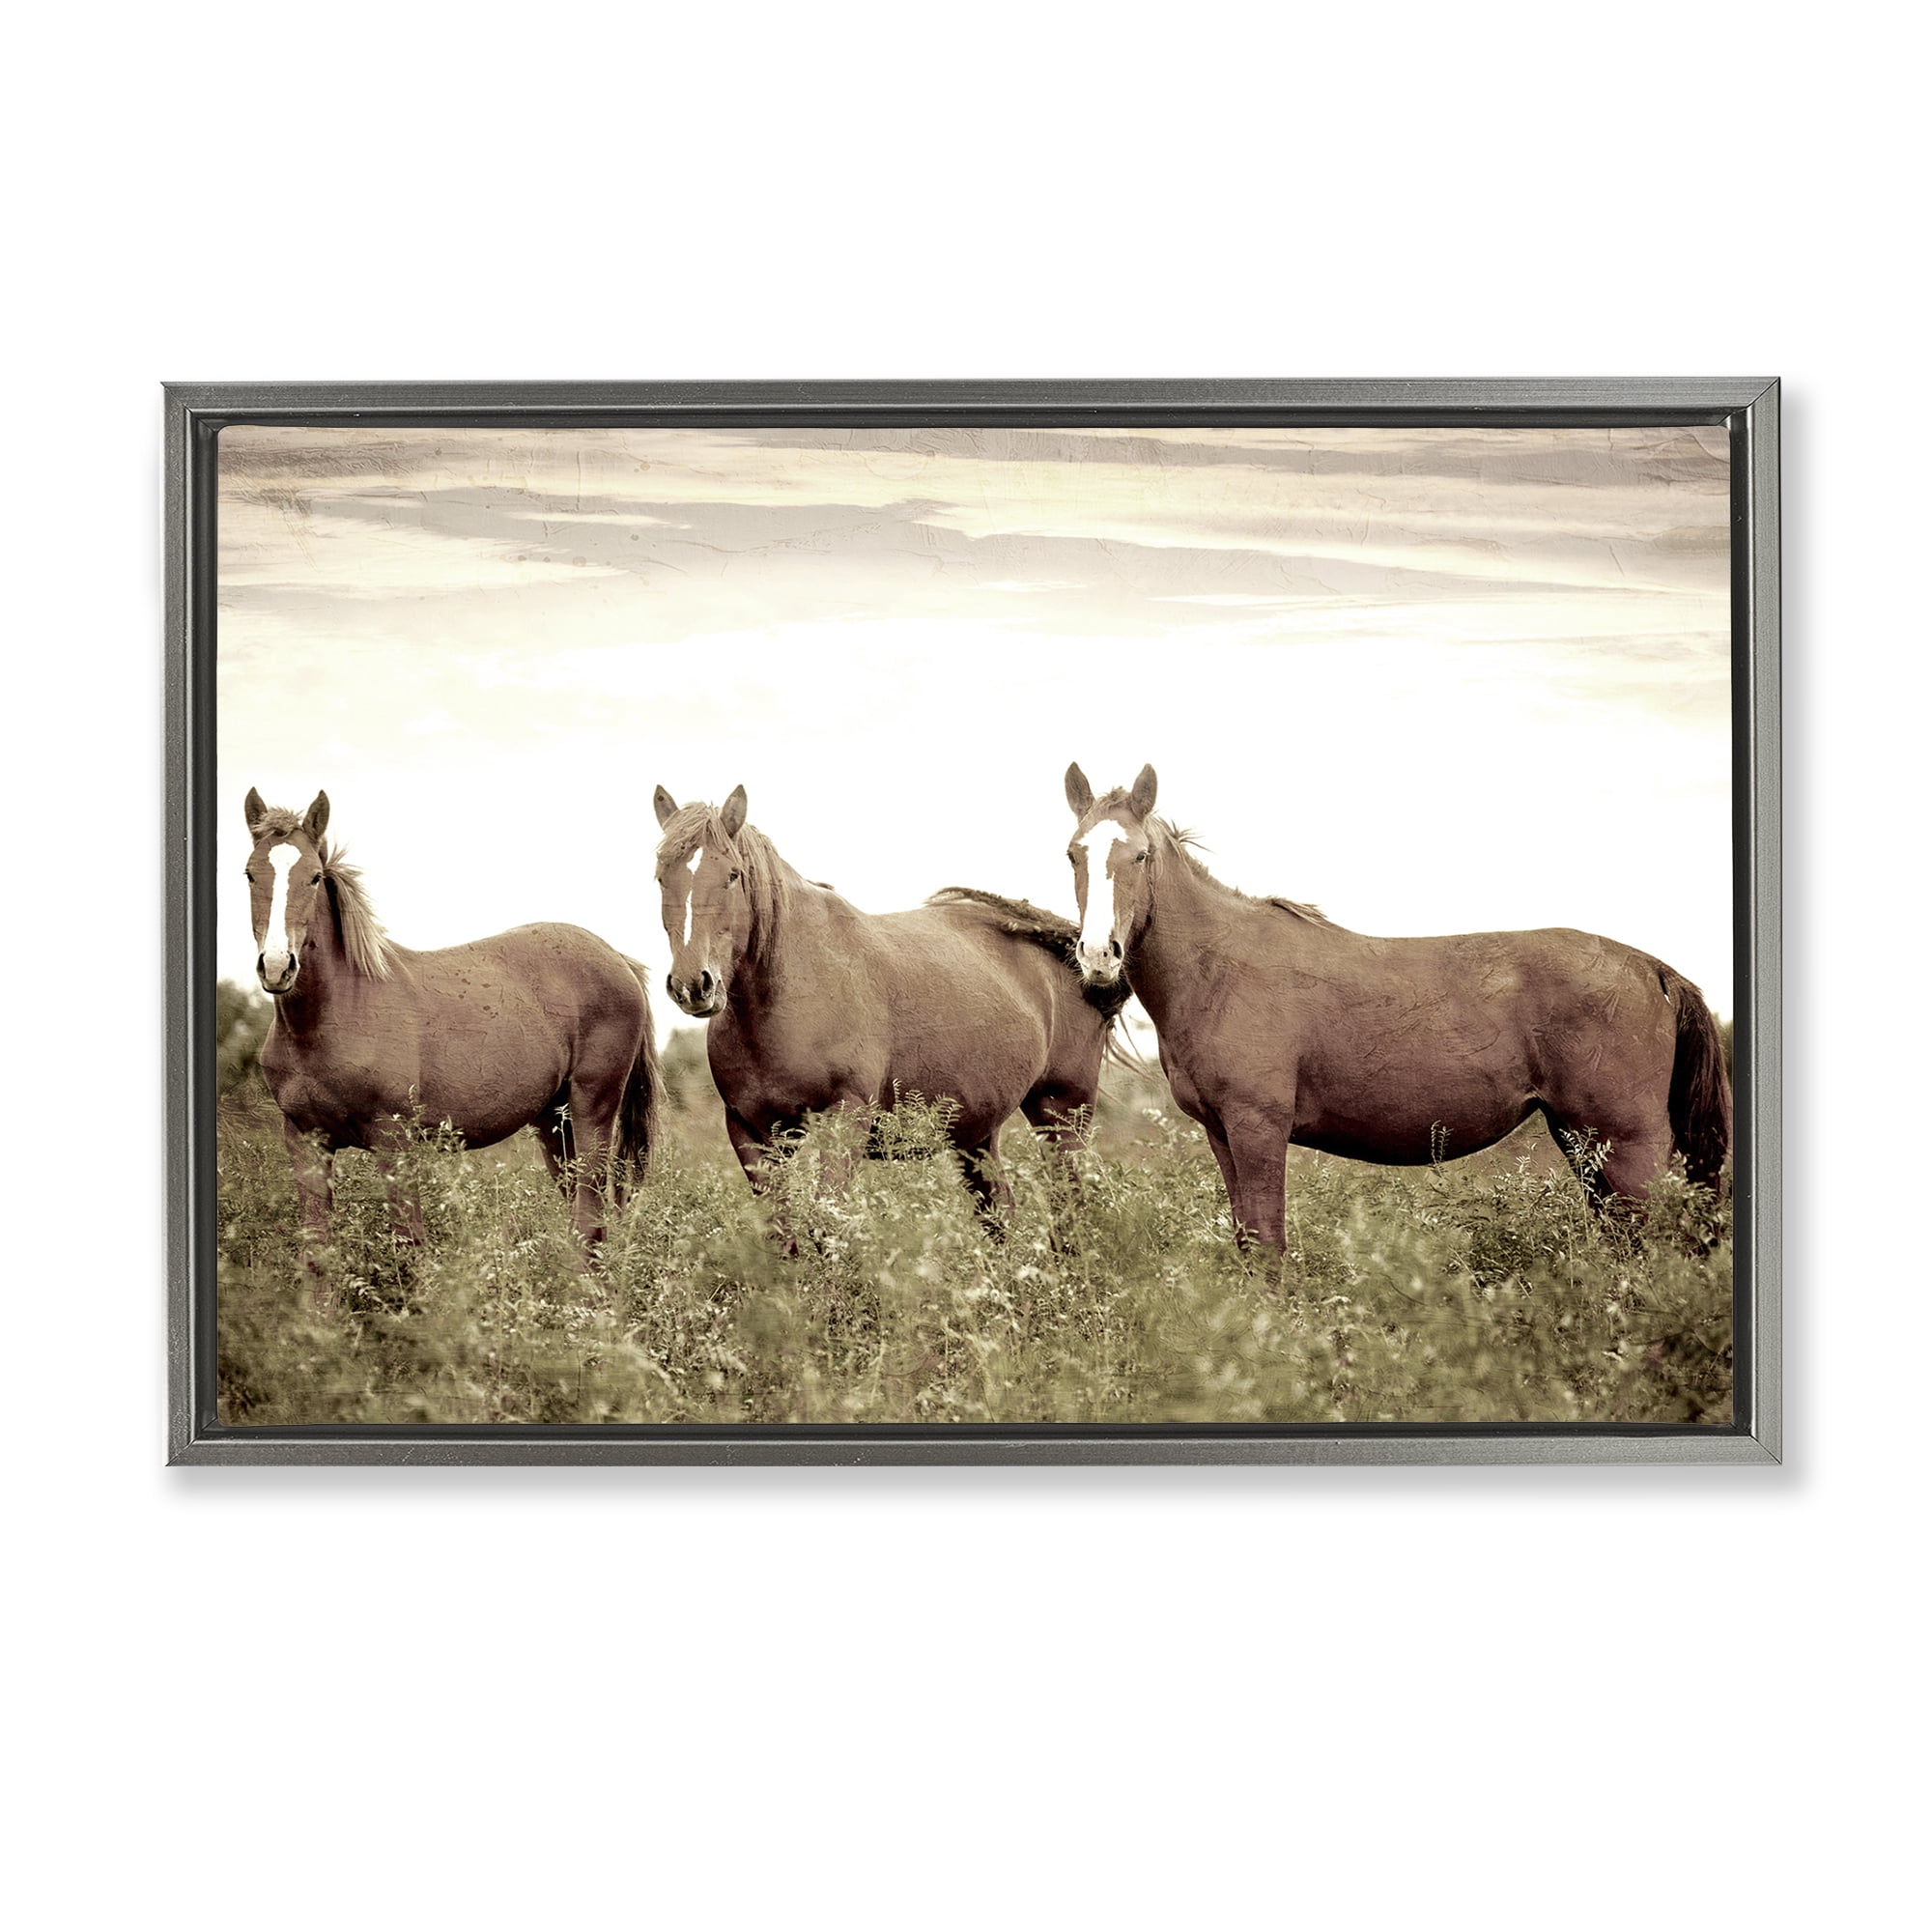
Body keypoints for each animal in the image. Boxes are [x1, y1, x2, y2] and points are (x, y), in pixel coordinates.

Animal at [240, 789, 659, 1276]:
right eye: (250, 874)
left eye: (313, 877)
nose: (276, 966)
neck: (332, 1017)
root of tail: (618, 958)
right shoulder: (306, 1142)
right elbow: (316, 1255)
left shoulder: (394, 1142)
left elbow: (409, 1249)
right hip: (554, 1123)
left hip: (592, 1109)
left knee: (590, 1214)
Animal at [650, 784, 1121, 1225]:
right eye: (660, 876)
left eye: (732, 875)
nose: (693, 985)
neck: (787, 993)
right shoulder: (751, 1133)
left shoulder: (844, 1121)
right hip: (976, 1134)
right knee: (998, 1212)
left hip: (1060, 1115)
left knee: (1071, 1207)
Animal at [1061, 763, 1731, 1252]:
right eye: (1073, 854)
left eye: (1140, 856)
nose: (1098, 954)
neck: (1219, 969)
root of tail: (1654, 969)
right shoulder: (1222, 1133)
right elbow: (1250, 1244)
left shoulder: (1258, 1129)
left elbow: (1270, 1244)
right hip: (1583, 1143)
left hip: (1628, 1147)